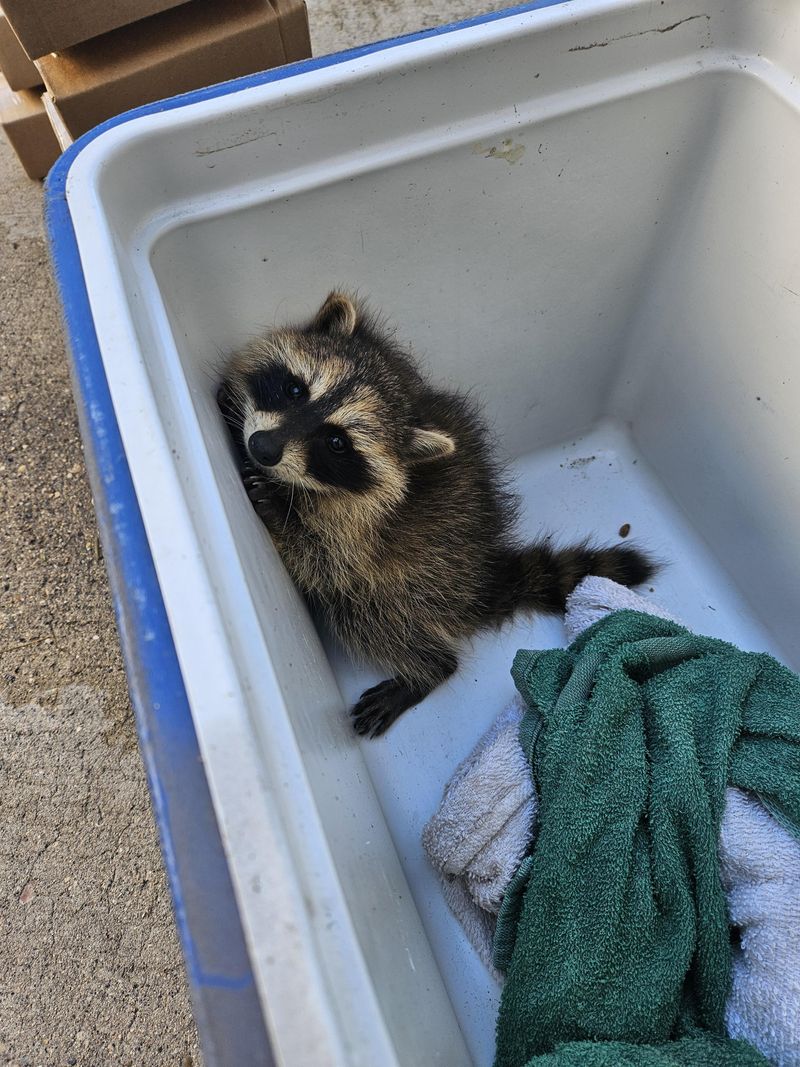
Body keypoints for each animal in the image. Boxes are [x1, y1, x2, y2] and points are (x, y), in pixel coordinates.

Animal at [218, 292, 657, 738]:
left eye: (337, 442)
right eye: (293, 389)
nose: (262, 447)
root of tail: (481, 580)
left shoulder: (363, 535)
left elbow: (323, 564)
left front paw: (280, 514)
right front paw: (232, 401)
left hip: (420, 585)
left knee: (365, 612)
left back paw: (426, 670)